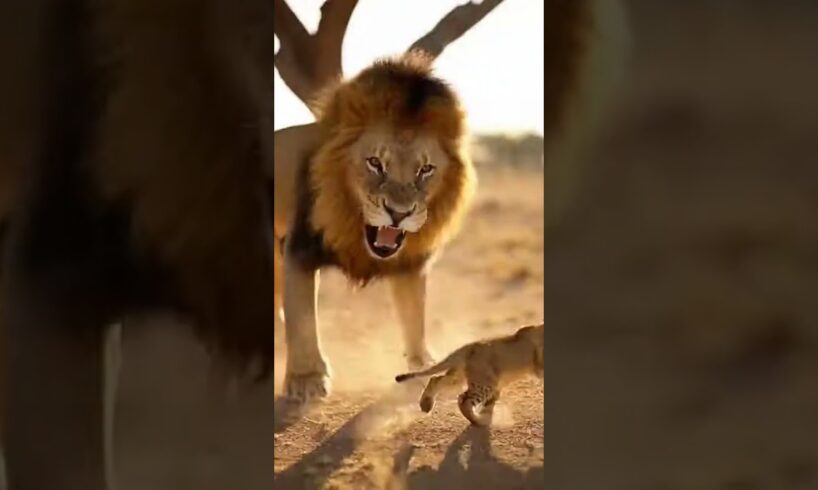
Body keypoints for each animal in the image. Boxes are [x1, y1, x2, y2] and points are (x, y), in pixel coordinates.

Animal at [273, 52, 478, 404]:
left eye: (425, 170)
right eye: (375, 163)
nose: (398, 214)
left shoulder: (410, 262)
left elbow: (415, 313)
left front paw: (423, 365)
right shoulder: (299, 247)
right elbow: (302, 319)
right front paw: (307, 380)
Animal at [395, 323, 544, 427]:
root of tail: (468, 347)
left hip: (459, 376)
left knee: (437, 380)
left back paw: (426, 405)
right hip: (485, 381)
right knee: (465, 401)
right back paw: (479, 422)